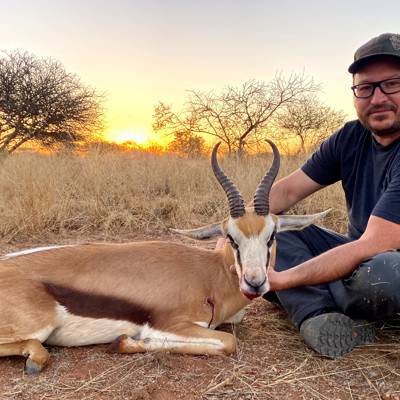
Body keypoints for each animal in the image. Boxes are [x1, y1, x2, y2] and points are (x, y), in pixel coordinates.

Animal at [0, 140, 329, 374]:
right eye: (231, 238)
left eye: (272, 236)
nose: (254, 283)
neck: (210, 277)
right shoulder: (171, 323)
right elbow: (228, 342)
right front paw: (127, 341)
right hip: (40, 326)